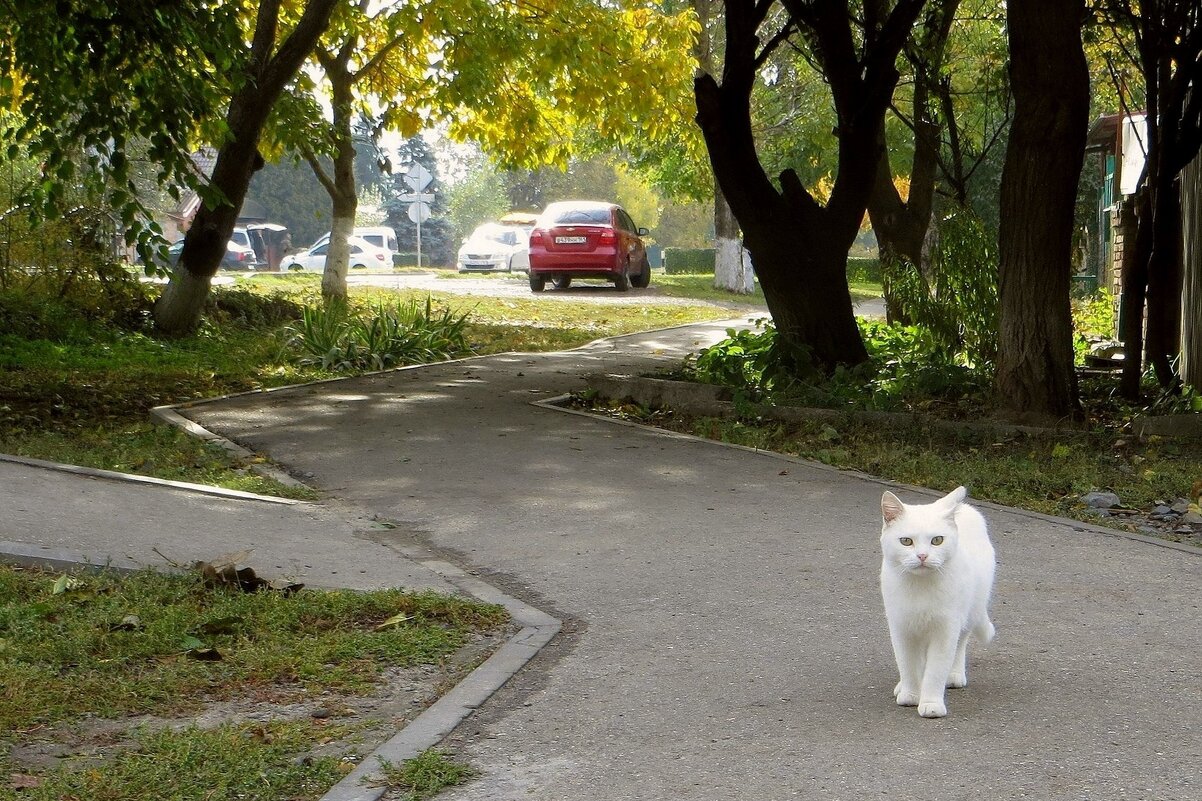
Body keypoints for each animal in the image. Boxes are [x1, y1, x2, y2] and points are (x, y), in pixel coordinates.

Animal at [879, 485, 1000, 716]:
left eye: (937, 540)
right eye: (906, 541)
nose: (922, 556)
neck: (921, 587)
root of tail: (966, 508)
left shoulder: (945, 629)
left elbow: (935, 670)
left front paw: (931, 703)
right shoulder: (901, 628)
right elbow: (907, 664)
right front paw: (910, 694)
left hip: (970, 612)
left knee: (960, 644)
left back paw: (954, 676)